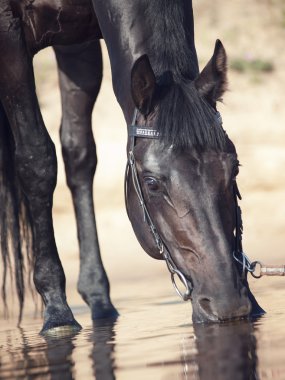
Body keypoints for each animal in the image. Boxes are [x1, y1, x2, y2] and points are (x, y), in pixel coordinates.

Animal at [0, 0, 262, 332]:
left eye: (235, 168)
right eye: (151, 183)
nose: (227, 303)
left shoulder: (80, 43)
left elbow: (78, 153)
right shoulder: (9, 36)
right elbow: (37, 159)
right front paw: (57, 310)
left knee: (78, 153)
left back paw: (99, 299)